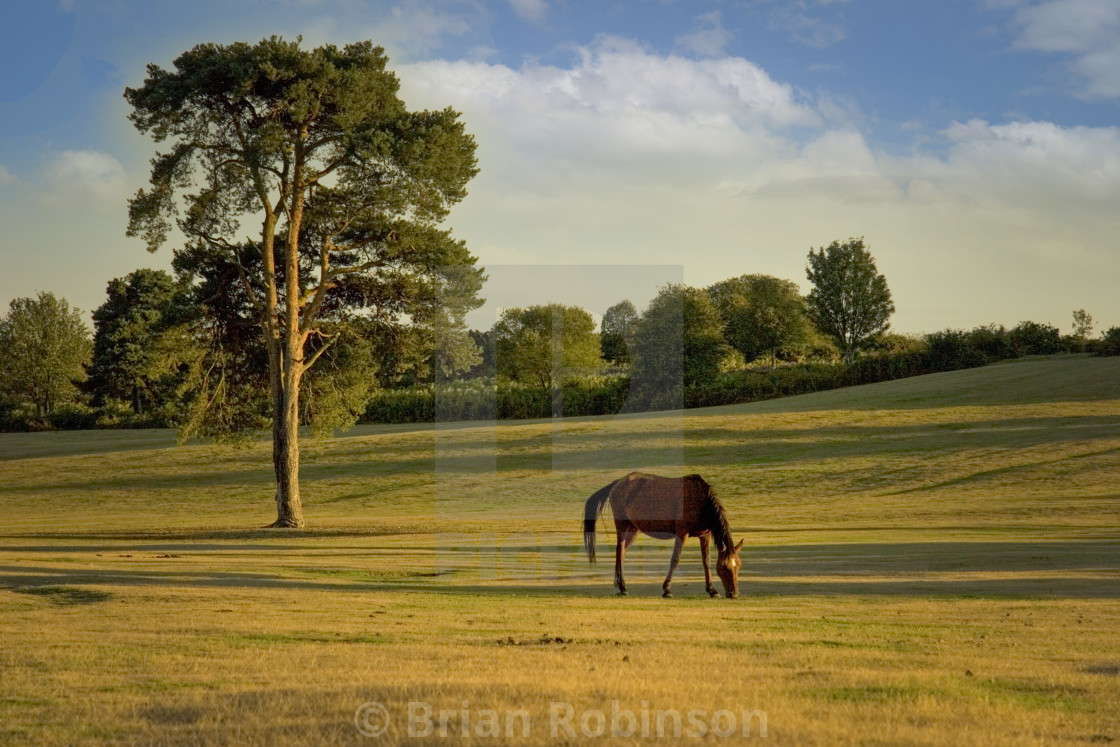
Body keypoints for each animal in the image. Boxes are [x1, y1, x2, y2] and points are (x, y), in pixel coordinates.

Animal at [577, 472, 743, 600]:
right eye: (724, 567)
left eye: (739, 566)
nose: (734, 594)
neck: (700, 501)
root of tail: (618, 483)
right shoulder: (682, 533)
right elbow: (675, 559)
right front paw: (667, 590)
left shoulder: (704, 535)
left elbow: (705, 561)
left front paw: (712, 590)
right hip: (622, 526)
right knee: (619, 553)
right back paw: (622, 587)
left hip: (633, 529)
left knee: (622, 553)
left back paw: (619, 586)